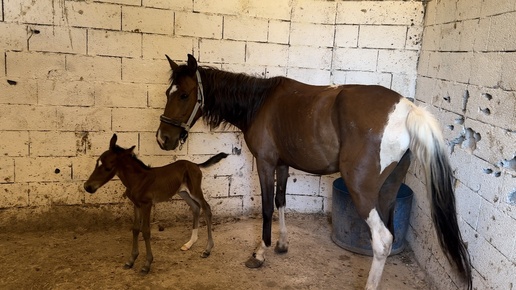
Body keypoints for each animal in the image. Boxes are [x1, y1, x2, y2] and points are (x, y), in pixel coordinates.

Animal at [156, 54, 472, 290]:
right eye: (167, 93)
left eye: (184, 95)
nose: (163, 139)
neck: (260, 103)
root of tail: (407, 109)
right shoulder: (282, 163)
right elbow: (281, 201)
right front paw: (282, 244)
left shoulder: (265, 162)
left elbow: (267, 208)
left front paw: (260, 252)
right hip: (389, 190)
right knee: (389, 235)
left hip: (361, 189)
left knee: (382, 239)